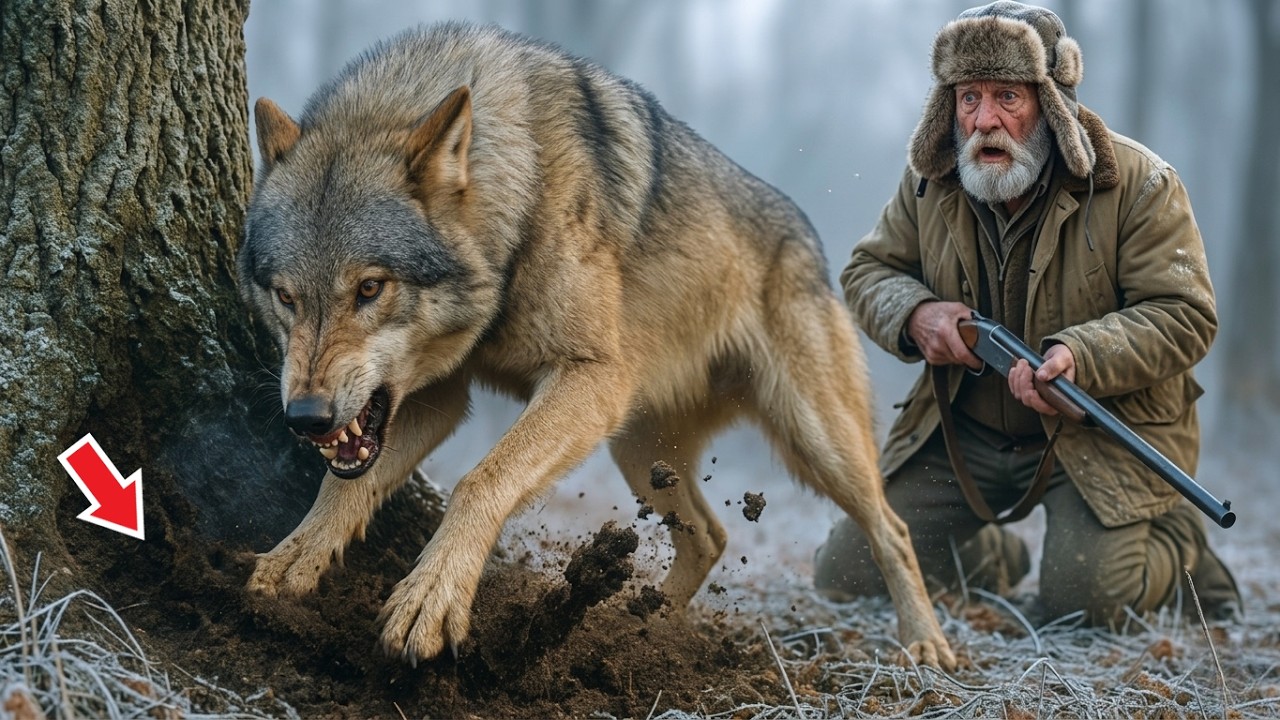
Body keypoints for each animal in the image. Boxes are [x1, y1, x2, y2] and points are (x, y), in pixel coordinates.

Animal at [238, 21, 955, 670]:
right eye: (285, 296)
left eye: (369, 287)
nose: (305, 418)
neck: (518, 195)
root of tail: (812, 238)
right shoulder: (440, 397)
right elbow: (341, 488)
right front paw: (290, 562)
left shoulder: (589, 376)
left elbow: (478, 480)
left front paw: (430, 600)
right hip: (636, 446)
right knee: (711, 536)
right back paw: (646, 629)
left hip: (813, 440)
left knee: (891, 528)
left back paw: (926, 645)